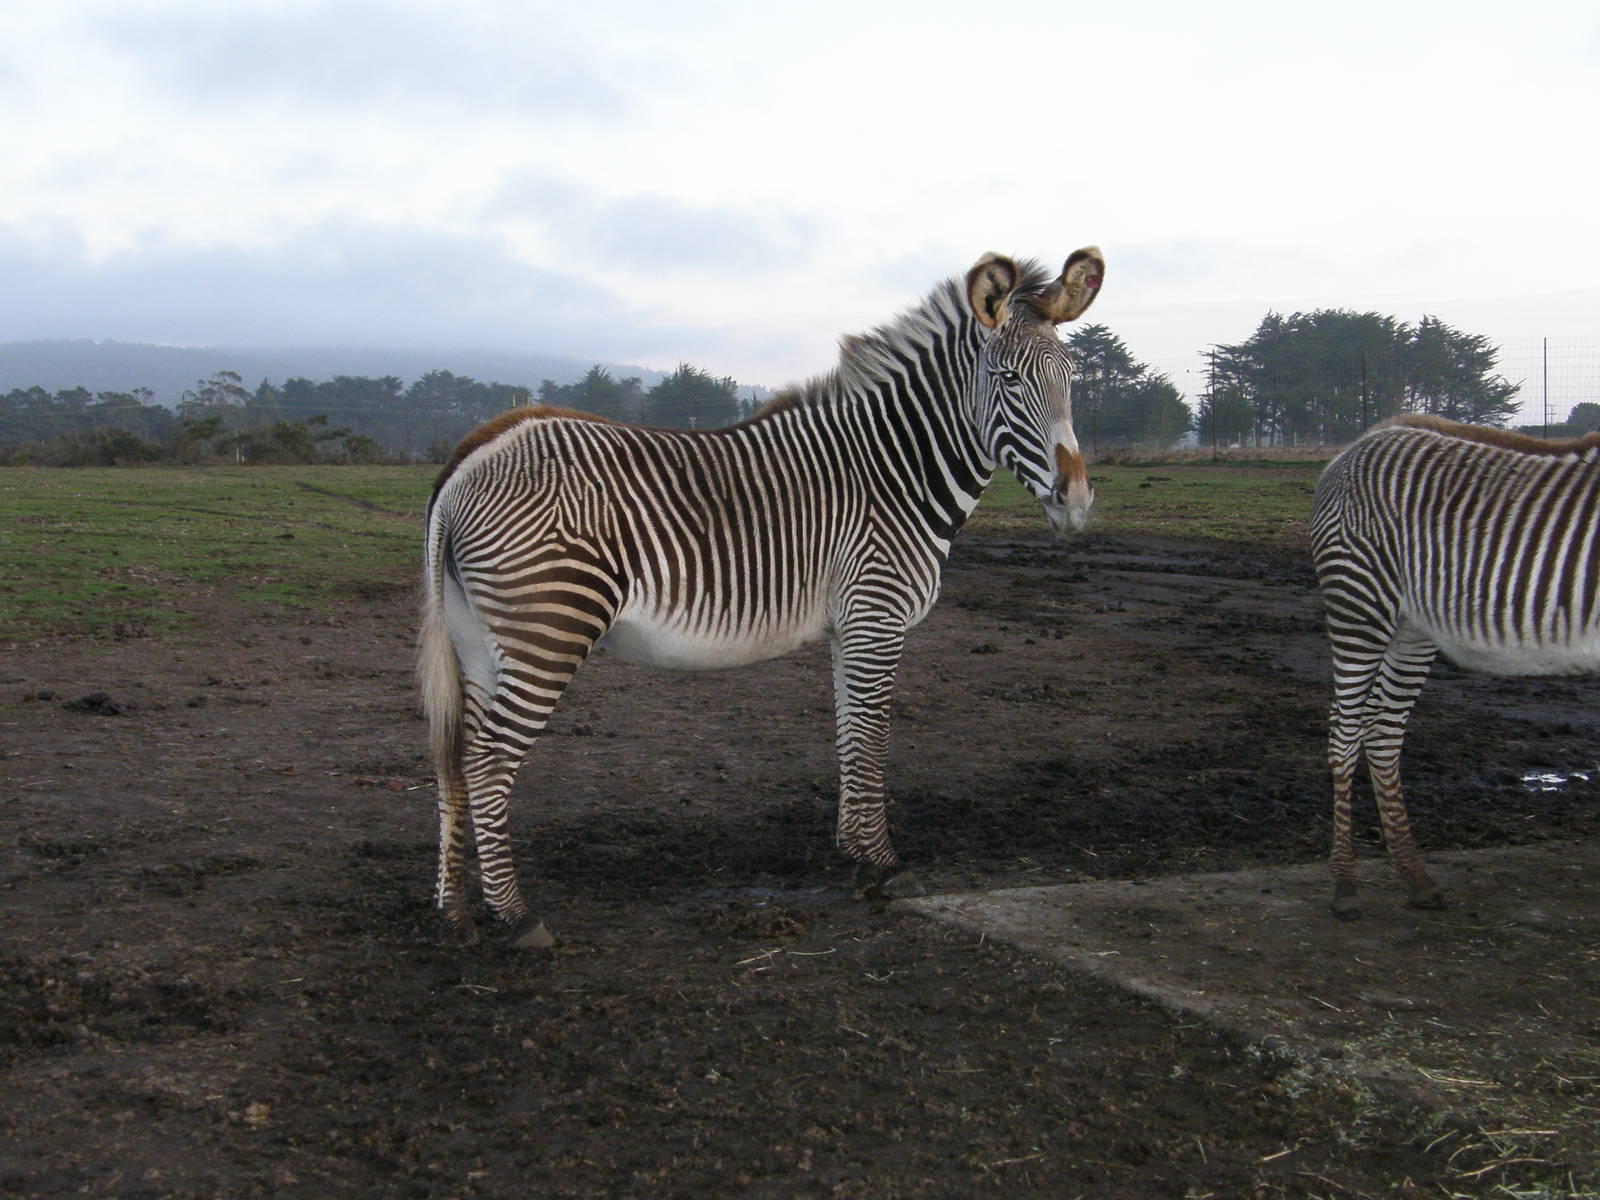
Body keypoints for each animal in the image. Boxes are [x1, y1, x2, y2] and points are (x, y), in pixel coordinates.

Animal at [417, 247, 1106, 947]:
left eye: (1071, 379)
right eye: (1010, 379)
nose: (1076, 499)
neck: (893, 472)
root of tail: (470, 456)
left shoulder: (851, 625)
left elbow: (849, 732)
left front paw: (854, 851)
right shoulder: (877, 614)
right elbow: (875, 734)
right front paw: (884, 865)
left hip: (477, 639)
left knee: (454, 756)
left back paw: (456, 908)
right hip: (547, 629)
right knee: (488, 762)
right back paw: (516, 916)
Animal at [1310, 411, 1600, 918]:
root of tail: (1367, 437)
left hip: (1412, 628)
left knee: (1382, 731)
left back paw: (1415, 877)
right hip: (1361, 604)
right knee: (1344, 731)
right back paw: (1345, 884)